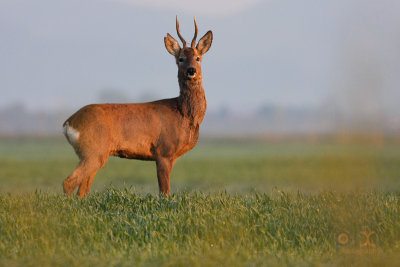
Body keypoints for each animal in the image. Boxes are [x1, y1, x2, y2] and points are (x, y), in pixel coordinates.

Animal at [62, 16, 212, 197]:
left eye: (198, 57)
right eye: (180, 58)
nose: (191, 71)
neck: (183, 113)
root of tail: (69, 122)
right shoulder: (164, 152)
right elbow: (164, 192)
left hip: (94, 154)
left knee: (82, 190)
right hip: (93, 151)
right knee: (68, 182)